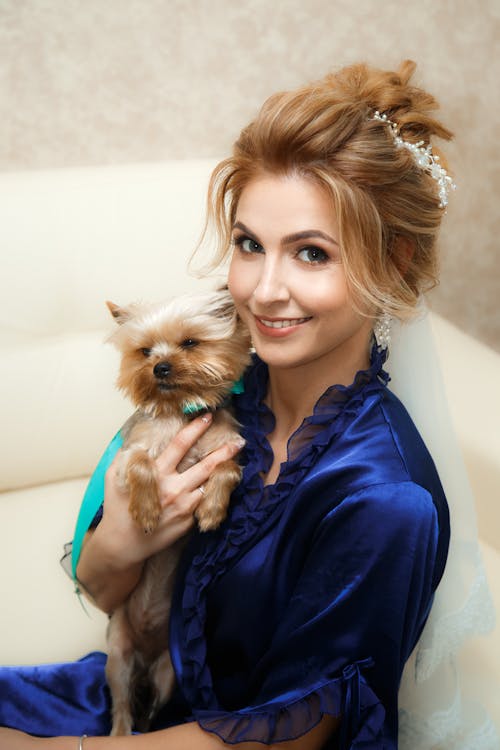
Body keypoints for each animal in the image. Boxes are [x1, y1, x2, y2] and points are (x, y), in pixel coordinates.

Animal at [103, 288, 250, 736]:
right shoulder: (129, 458)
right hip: (118, 655)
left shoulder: (225, 448)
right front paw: (148, 512)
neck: (178, 411)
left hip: (169, 671)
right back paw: (121, 733)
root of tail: (145, 654)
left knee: (151, 708)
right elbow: (141, 464)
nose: (160, 366)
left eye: (189, 343)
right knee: (122, 706)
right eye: (144, 351)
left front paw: (212, 511)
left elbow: (227, 470)